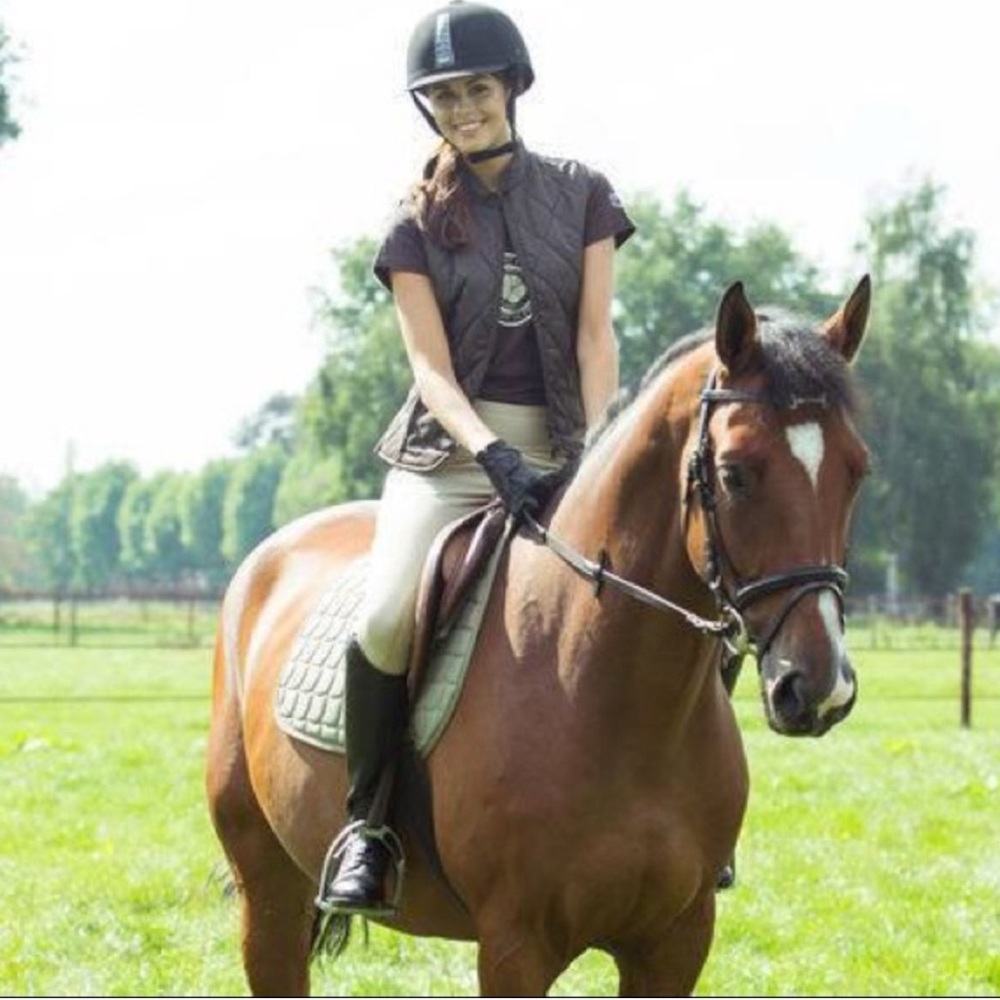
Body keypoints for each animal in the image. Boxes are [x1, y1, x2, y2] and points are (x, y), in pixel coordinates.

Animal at [205, 275, 872, 996]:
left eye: (857, 470)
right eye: (734, 473)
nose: (819, 688)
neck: (617, 702)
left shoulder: (676, 941)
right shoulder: (515, 946)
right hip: (268, 886)